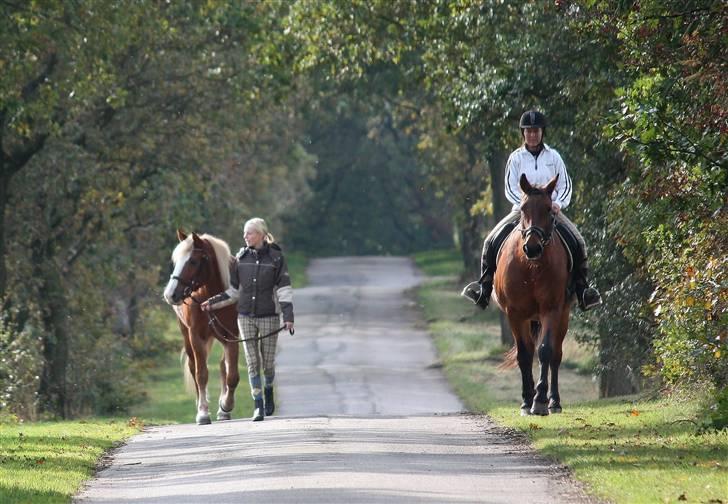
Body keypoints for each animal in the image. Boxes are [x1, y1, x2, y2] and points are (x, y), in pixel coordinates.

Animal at [162, 230, 239, 424]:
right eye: (176, 261)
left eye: (193, 261)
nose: (170, 294)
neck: (211, 297)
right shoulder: (195, 336)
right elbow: (201, 374)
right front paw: (203, 412)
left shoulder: (232, 336)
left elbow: (232, 375)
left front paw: (226, 406)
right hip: (186, 336)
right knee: (193, 367)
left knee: (223, 366)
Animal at [494, 175, 576, 416]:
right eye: (523, 208)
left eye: (549, 209)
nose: (532, 248)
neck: (531, 268)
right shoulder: (515, 313)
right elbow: (524, 354)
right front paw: (526, 400)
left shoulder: (552, 309)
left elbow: (545, 351)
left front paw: (539, 401)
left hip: (563, 315)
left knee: (556, 355)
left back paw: (554, 402)